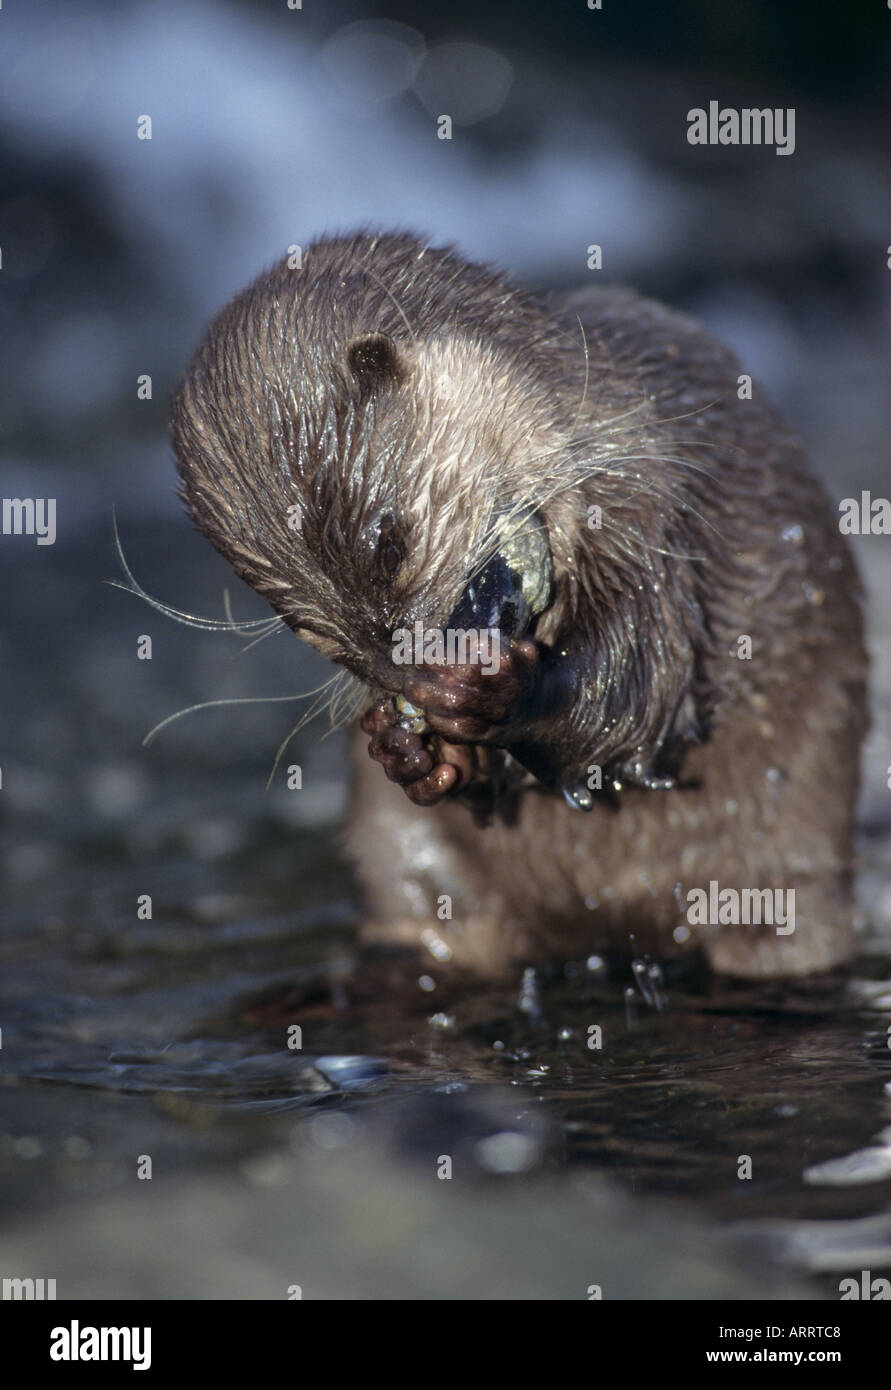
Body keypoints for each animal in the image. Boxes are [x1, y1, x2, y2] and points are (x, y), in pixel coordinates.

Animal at [172, 230, 867, 991]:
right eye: (309, 631)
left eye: (390, 544)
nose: (418, 677)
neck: (587, 428)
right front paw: (412, 751)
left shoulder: (653, 509)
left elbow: (643, 686)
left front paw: (496, 692)